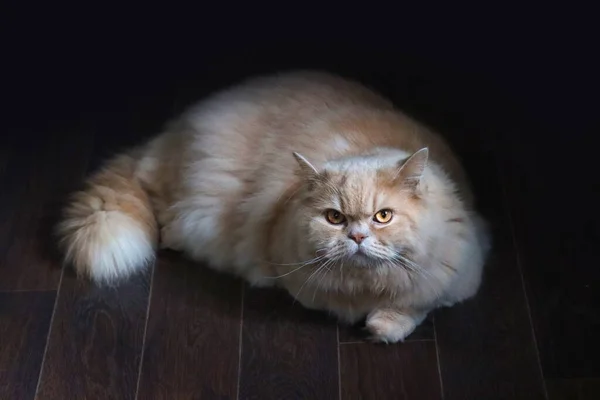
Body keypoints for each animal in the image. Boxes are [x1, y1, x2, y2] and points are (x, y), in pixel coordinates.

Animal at [56, 70, 490, 342]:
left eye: (383, 216)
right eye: (334, 218)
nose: (357, 237)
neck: (366, 288)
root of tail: (168, 135)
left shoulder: (462, 269)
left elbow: (417, 305)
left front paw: (382, 325)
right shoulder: (295, 276)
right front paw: (374, 322)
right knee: (163, 218)